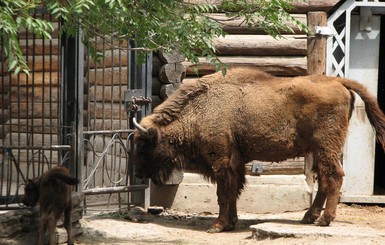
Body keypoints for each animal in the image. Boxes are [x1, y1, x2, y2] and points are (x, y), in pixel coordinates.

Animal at [132, 66, 384, 232]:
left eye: (144, 144)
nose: (138, 172)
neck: (200, 109)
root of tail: (338, 82)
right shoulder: (235, 163)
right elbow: (234, 191)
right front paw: (231, 223)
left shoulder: (221, 161)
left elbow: (223, 194)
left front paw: (217, 225)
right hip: (320, 149)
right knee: (324, 179)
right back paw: (308, 217)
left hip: (325, 146)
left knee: (334, 176)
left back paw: (324, 220)